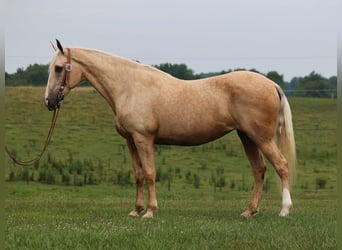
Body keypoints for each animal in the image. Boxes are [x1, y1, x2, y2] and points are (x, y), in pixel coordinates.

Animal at [44, 39, 296, 219]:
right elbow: (138, 174)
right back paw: (249, 211)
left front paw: (150, 211)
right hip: (247, 137)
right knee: (259, 170)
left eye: (59, 68)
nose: (49, 101)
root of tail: (271, 84)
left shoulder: (143, 138)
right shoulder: (130, 140)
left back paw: (284, 210)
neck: (129, 87)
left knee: (282, 166)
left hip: (261, 137)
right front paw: (136, 210)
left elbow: (150, 173)